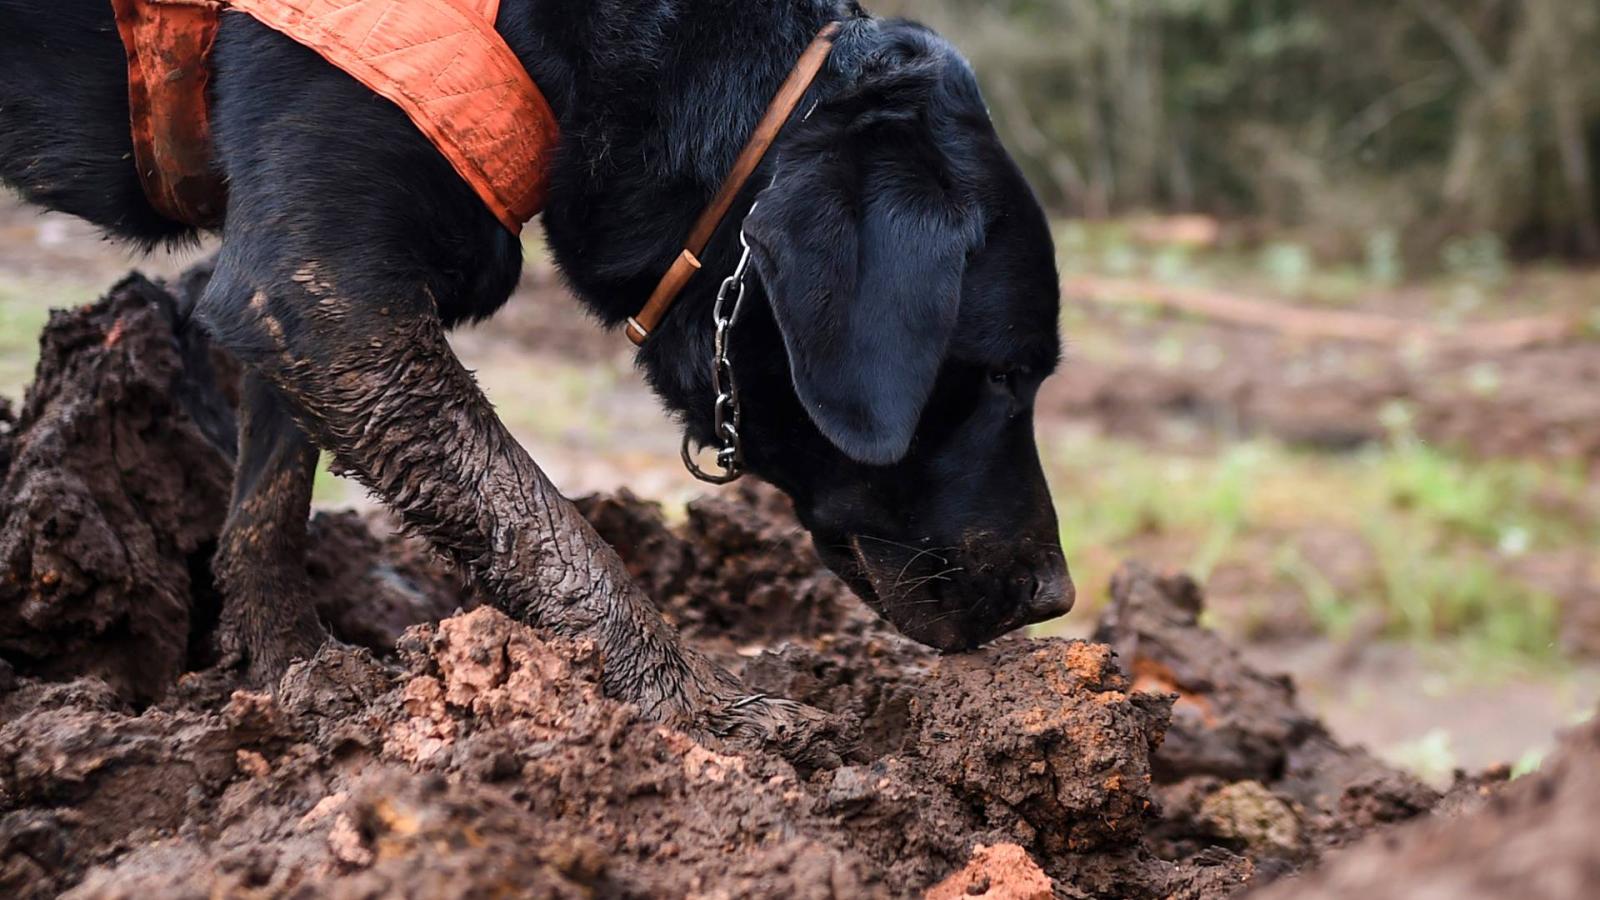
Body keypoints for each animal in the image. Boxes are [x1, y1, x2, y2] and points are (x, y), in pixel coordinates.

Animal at [6, 0, 1075, 743]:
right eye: (1000, 376)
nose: (1058, 599)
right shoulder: (324, 294)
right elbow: (554, 538)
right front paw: (706, 714)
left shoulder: (290, 291)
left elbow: (267, 508)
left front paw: (299, 679)